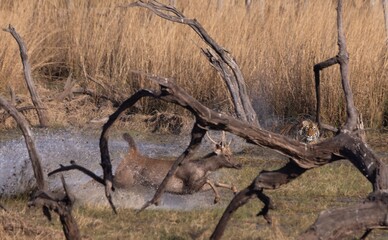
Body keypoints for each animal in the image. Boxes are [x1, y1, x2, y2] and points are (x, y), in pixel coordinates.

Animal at [113, 132, 241, 203]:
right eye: (226, 155)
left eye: (232, 153)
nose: (239, 164)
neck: (203, 167)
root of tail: (132, 154)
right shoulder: (189, 186)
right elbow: (209, 180)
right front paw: (217, 198)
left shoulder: (193, 189)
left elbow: (215, 182)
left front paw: (234, 189)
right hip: (124, 180)